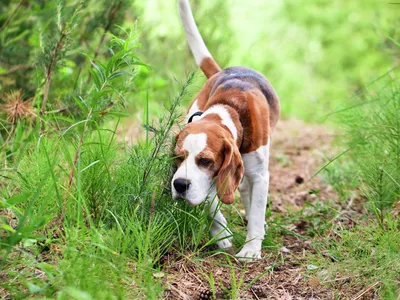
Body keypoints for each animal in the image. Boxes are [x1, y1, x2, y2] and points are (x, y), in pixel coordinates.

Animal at [170, 0, 280, 260]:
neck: (228, 110)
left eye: (205, 160)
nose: (179, 185)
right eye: (178, 158)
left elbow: (257, 210)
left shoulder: (260, 175)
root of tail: (223, 71)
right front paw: (221, 235)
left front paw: (251, 249)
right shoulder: (211, 179)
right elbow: (211, 202)